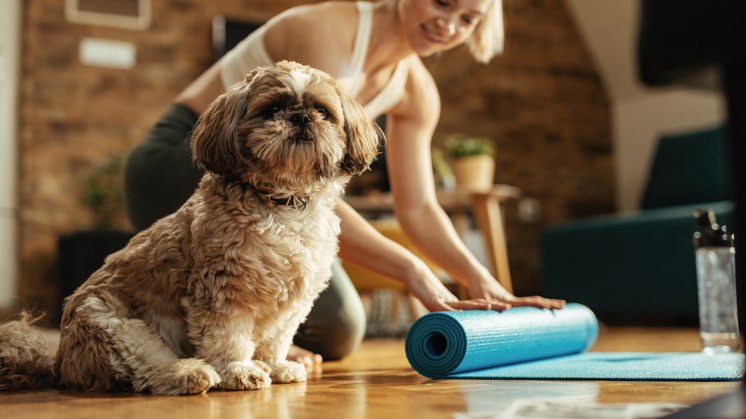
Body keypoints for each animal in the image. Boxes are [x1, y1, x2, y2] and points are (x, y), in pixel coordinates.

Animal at [0, 60, 380, 396]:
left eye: (322, 111)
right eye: (272, 108)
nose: (300, 117)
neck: (282, 201)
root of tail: (61, 362)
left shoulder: (293, 302)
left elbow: (276, 339)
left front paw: (276, 365)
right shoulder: (222, 290)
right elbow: (228, 337)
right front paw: (238, 371)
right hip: (113, 324)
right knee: (146, 368)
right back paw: (191, 373)